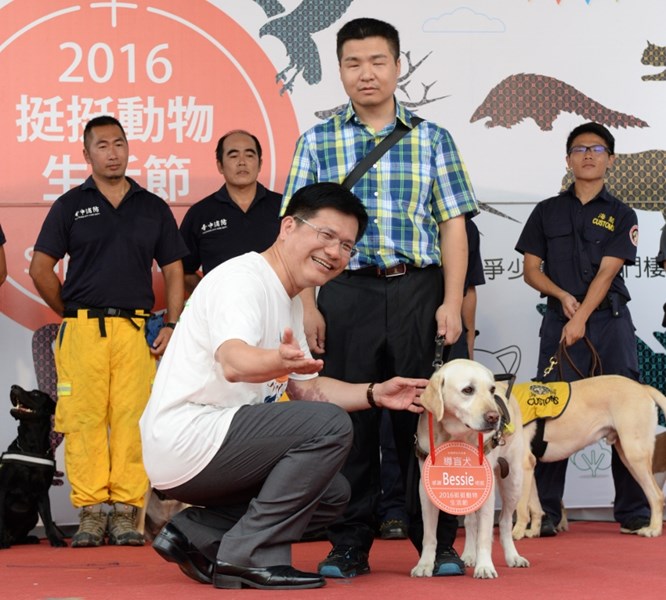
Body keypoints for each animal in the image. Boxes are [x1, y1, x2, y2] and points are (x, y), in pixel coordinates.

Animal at [0, 384, 66, 548]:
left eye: (36, 394)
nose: (13, 386)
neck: (30, 446)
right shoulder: (3, 488)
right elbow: (0, 519)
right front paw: (1, 541)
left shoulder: (42, 491)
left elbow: (48, 519)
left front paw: (55, 540)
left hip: (33, 516)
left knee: (18, 537)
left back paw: (28, 538)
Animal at [410, 358, 528, 580]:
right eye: (468, 390)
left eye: (490, 390)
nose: (494, 417)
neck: (455, 436)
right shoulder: (426, 489)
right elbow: (429, 534)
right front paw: (424, 564)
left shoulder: (486, 487)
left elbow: (485, 534)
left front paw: (485, 567)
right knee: (471, 522)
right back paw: (469, 555)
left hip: (514, 480)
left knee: (505, 522)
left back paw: (513, 556)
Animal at [508, 376, 664, 540]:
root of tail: (642, 387)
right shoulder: (529, 466)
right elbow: (535, 505)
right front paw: (534, 531)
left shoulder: (523, 464)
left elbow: (521, 506)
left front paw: (516, 532)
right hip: (628, 457)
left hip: (635, 454)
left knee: (657, 496)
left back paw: (653, 529)